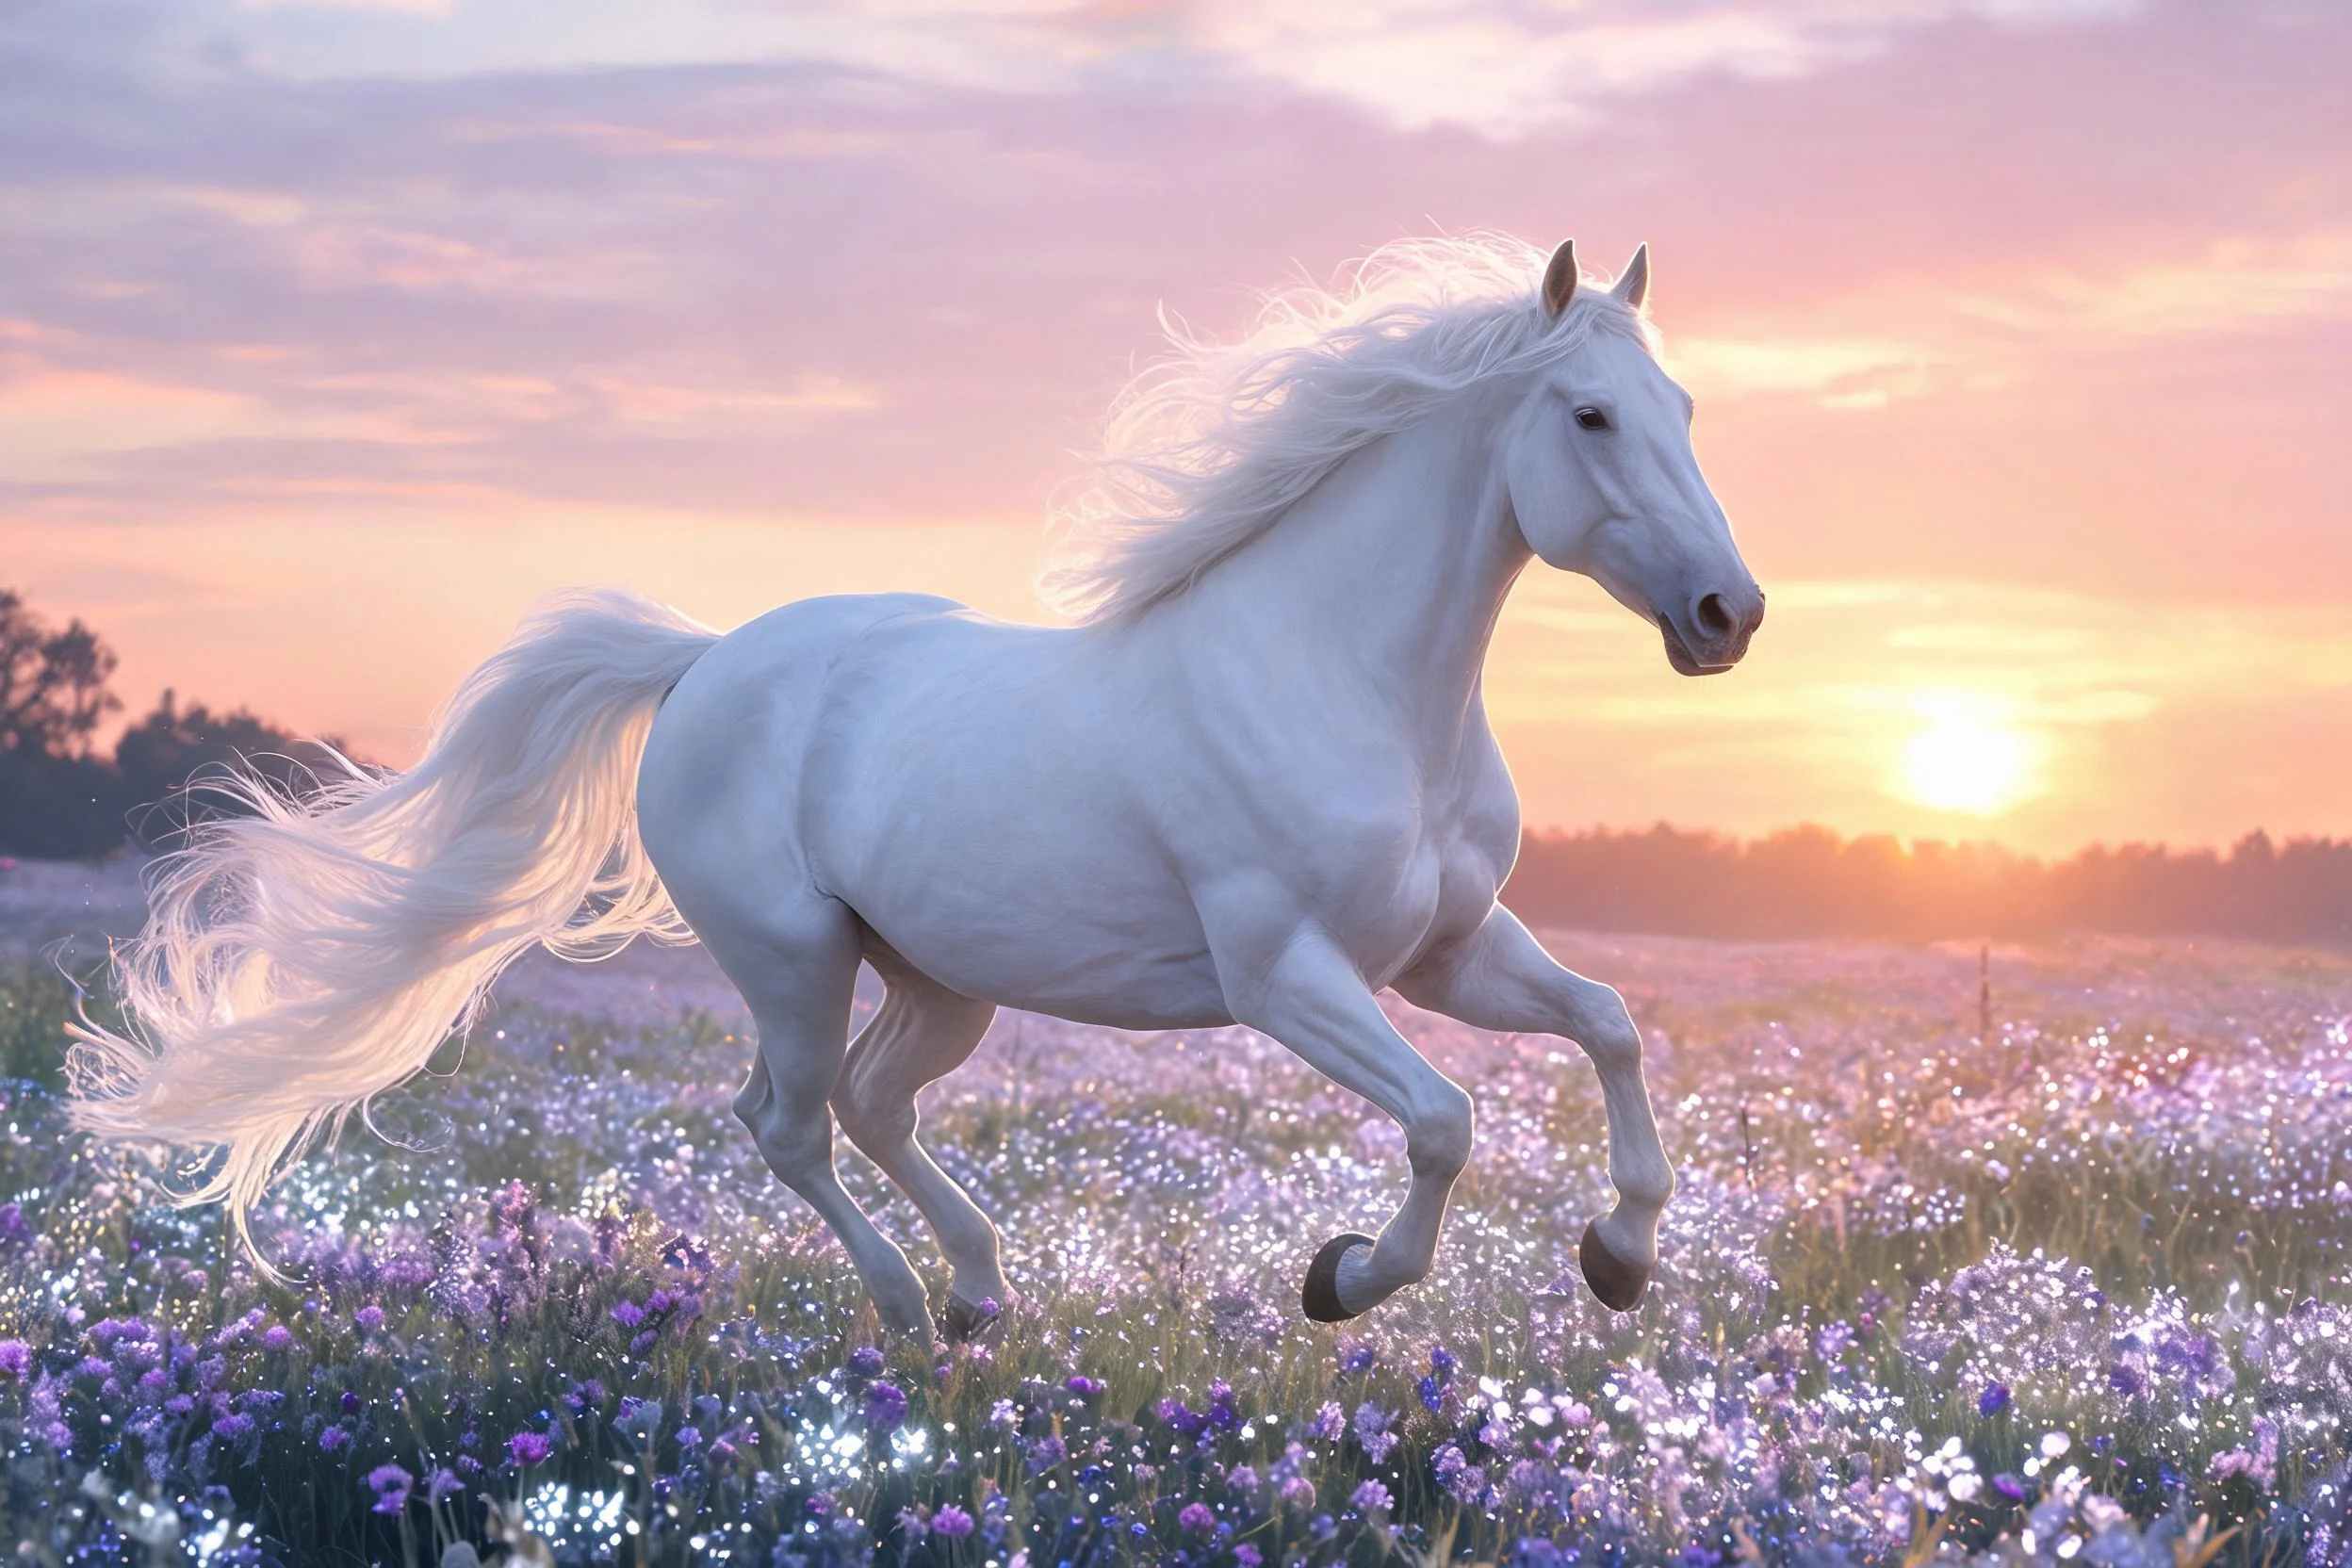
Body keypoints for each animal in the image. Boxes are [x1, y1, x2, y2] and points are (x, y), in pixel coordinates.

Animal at [70, 235, 1764, 1343]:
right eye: (1590, 415)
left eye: (1687, 411)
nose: (1727, 615)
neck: (1353, 685)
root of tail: (703, 662)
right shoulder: (1287, 973)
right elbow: (1443, 1122)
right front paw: (1340, 1276)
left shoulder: (1447, 949)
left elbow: (1610, 1025)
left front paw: (1619, 1255)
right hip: (793, 958)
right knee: (789, 1121)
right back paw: (904, 1298)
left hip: (941, 973)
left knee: (877, 1102)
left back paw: (979, 1290)